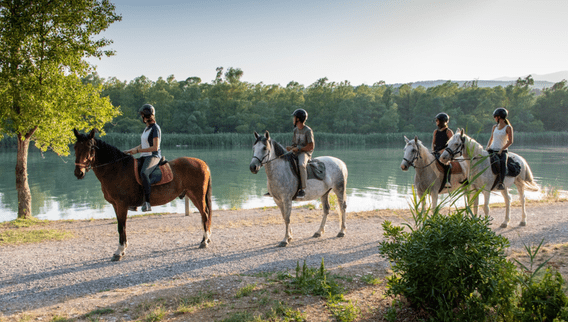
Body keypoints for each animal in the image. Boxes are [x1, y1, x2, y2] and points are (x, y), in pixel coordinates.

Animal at [72, 129, 212, 262]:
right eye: (75, 147)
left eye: (89, 147)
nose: (78, 173)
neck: (116, 169)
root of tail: (203, 163)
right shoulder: (116, 205)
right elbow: (121, 227)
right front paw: (123, 249)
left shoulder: (121, 205)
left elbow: (121, 226)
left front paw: (119, 251)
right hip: (192, 195)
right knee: (203, 215)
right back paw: (205, 239)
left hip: (197, 195)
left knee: (205, 214)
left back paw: (204, 241)